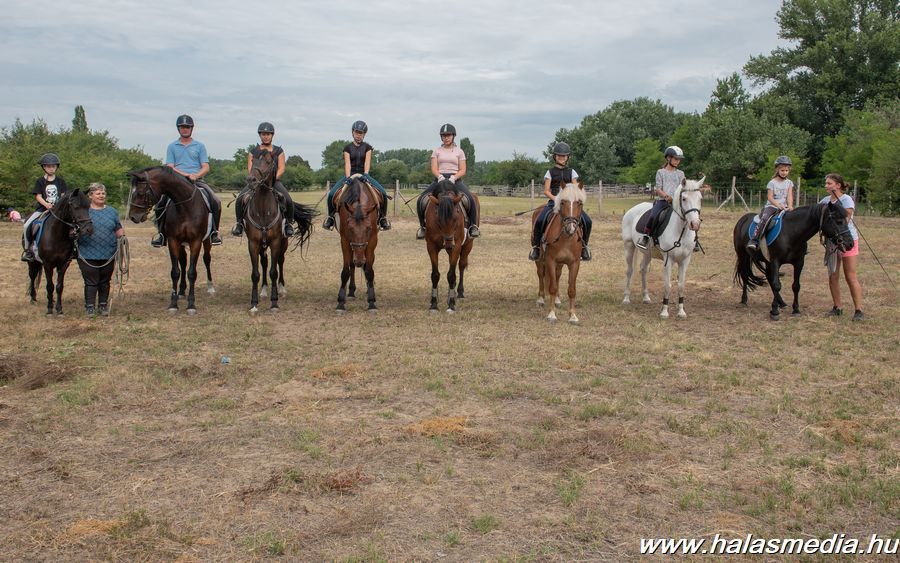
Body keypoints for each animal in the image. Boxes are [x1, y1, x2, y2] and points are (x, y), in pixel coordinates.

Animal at [126, 167, 216, 316]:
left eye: (140, 192)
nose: (133, 217)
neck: (186, 206)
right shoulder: (173, 241)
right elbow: (175, 272)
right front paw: (173, 304)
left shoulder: (196, 241)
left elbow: (192, 273)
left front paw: (191, 305)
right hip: (181, 244)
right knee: (183, 263)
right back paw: (181, 291)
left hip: (207, 241)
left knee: (207, 259)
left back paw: (210, 287)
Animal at [336, 176, 382, 312]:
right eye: (350, 228)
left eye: (368, 228)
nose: (359, 261)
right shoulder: (345, 241)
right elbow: (346, 271)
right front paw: (341, 302)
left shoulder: (372, 240)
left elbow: (369, 270)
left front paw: (372, 302)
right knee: (352, 264)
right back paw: (351, 291)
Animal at [424, 180, 478, 312]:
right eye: (438, 220)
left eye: (455, 219)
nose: (449, 243)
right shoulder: (431, 246)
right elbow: (435, 275)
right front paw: (434, 304)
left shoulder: (457, 246)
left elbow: (452, 275)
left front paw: (452, 305)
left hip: (468, 244)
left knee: (461, 265)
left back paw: (459, 293)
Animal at [532, 181, 588, 322]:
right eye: (562, 202)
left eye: (580, 203)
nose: (571, 227)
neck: (566, 238)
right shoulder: (550, 261)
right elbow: (551, 287)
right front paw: (552, 314)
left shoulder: (574, 263)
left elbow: (571, 289)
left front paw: (573, 315)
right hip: (540, 259)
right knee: (540, 274)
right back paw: (540, 299)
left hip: (561, 263)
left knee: (557, 276)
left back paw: (557, 300)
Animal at [624, 177, 708, 318]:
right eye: (684, 198)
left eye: (700, 198)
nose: (695, 224)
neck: (680, 231)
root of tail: (632, 210)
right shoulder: (668, 260)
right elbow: (667, 285)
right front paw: (664, 311)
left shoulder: (685, 260)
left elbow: (681, 285)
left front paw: (681, 311)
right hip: (629, 246)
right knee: (630, 270)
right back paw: (626, 298)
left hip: (648, 253)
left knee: (643, 269)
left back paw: (646, 297)